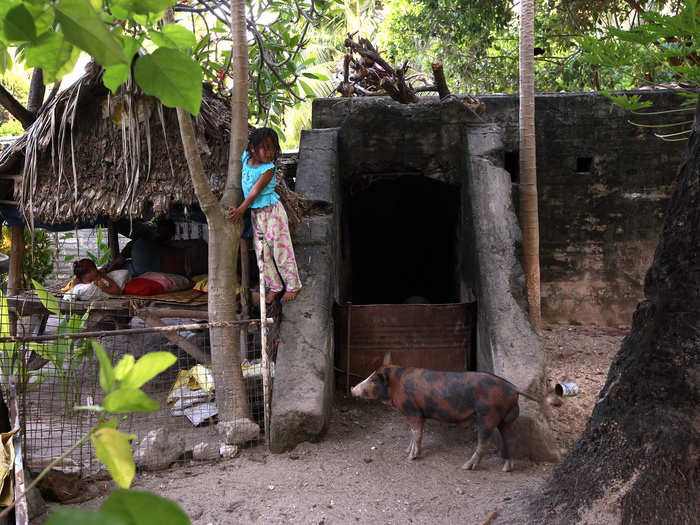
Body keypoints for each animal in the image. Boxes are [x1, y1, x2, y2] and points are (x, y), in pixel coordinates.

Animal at [352, 356, 540, 470]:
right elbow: (412, 433)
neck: (397, 385)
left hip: (488, 415)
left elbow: (417, 433)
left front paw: (410, 458)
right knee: (511, 438)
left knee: (484, 443)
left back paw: (466, 467)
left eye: (373, 379)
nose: (352, 389)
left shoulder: (413, 411)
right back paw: (507, 469)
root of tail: (513, 389)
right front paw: (406, 451)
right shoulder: (417, 414)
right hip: (504, 420)